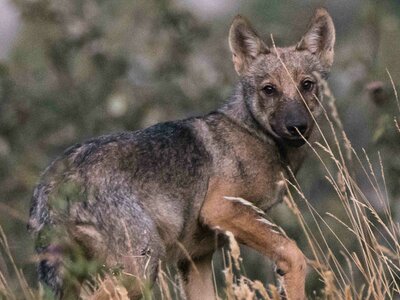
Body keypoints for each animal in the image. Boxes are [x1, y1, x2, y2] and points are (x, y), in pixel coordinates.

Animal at [27, 8, 334, 298]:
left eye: (307, 85)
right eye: (269, 90)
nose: (297, 127)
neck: (254, 135)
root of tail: (52, 180)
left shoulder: (196, 259)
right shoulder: (222, 209)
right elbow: (294, 255)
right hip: (141, 270)